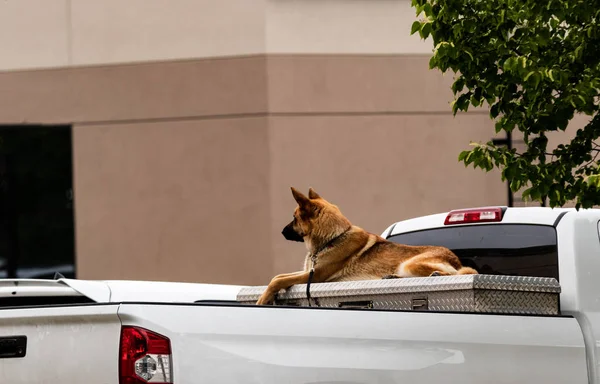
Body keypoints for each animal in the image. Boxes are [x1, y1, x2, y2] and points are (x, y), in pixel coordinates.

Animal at [254, 188, 478, 304]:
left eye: (294, 218)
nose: (281, 232)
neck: (332, 238)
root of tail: (455, 259)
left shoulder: (316, 276)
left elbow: (277, 280)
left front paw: (262, 300)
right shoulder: (309, 272)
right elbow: (279, 276)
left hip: (411, 264)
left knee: (457, 274)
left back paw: (437, 274)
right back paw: (392, 277)